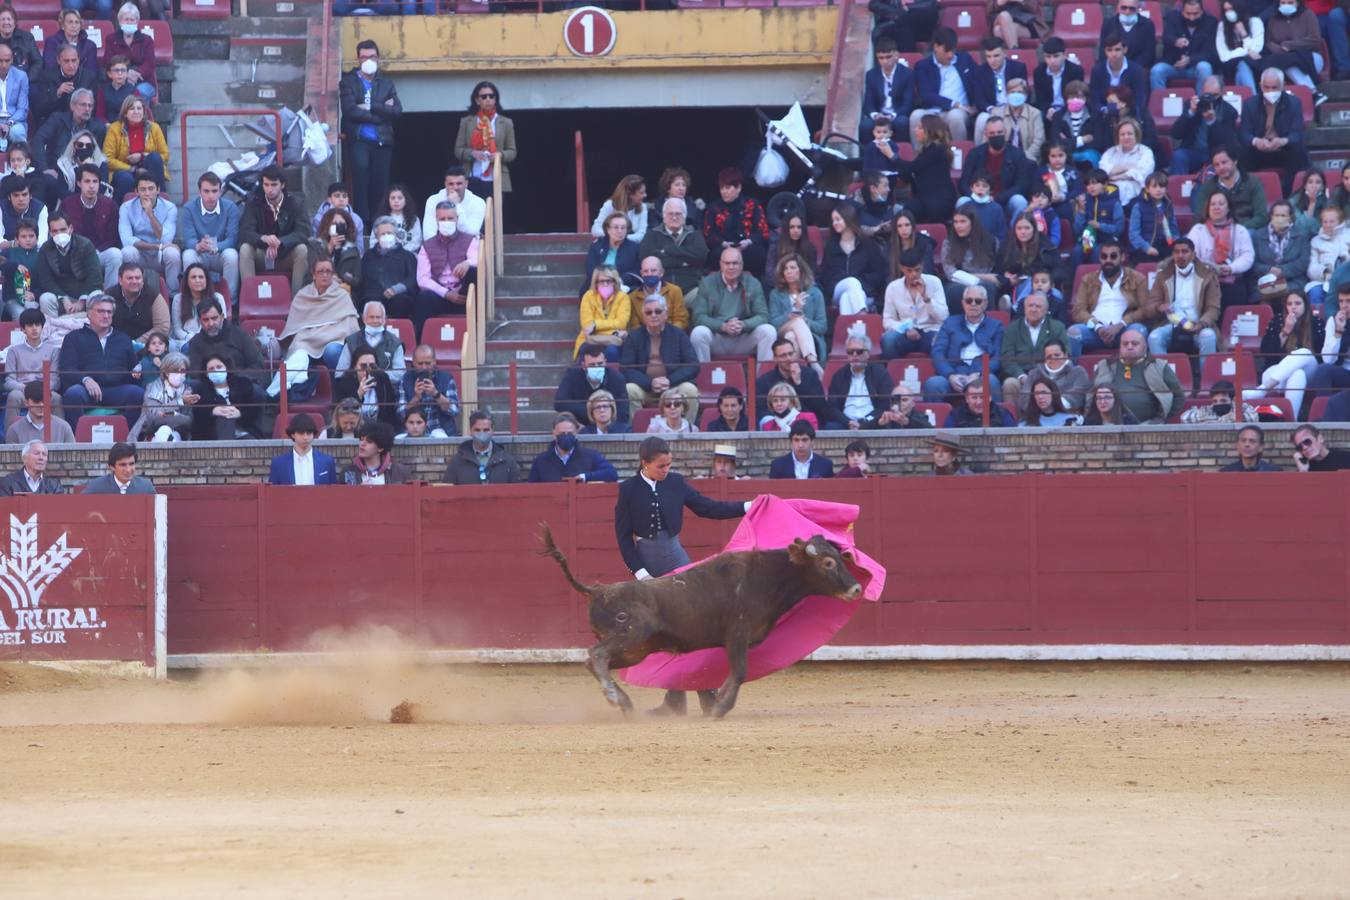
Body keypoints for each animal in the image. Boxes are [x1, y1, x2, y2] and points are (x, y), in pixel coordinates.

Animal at [540, 523, 864, 723]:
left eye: (840, 559)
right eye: (828, 563)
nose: (857, 588)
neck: (766, 576)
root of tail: (596, 590)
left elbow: (721, 674)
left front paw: (712, 702)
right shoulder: (737, 634)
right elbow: (740, 671)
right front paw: (720, 707)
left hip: (636, 649)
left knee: (595, 661)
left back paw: (626, 704)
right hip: (631, 635)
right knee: (596, 656)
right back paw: (614, 698)